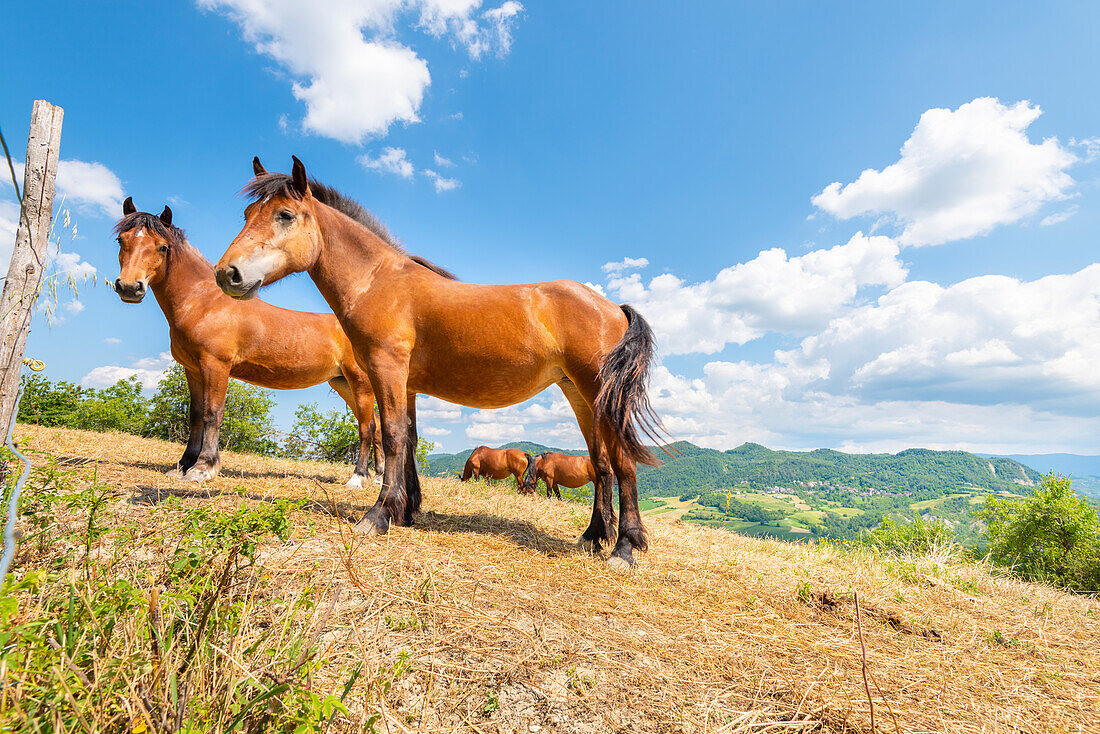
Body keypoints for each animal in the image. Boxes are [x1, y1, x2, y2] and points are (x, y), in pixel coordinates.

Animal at [112, 199, 382, 488]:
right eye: (121, 240)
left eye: (162, 247)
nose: (130, 287)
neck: (204, 302)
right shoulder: (192, 369)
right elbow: (195, 415)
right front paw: (183, 465)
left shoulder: (215, 365)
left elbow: (213, 413)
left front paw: (203, 468)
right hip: (343, 384)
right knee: (376, 426)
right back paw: (378, 478)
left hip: (360, 383)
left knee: (367, 427)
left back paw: (358, 478)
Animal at [210, 156, 664, 567]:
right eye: (248, 214)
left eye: (285, 215)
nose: (226, 274)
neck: (379, 281)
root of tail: (613, 308)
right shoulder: (406, 382)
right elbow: (408, 439)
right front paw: (406, 509)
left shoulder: (387, 369)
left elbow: (391, 436)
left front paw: (377, 515)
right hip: (580, 396)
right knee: (602, 464)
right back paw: (592, 537)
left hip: (596, 393)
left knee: (622, 462)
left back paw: (624, 548)